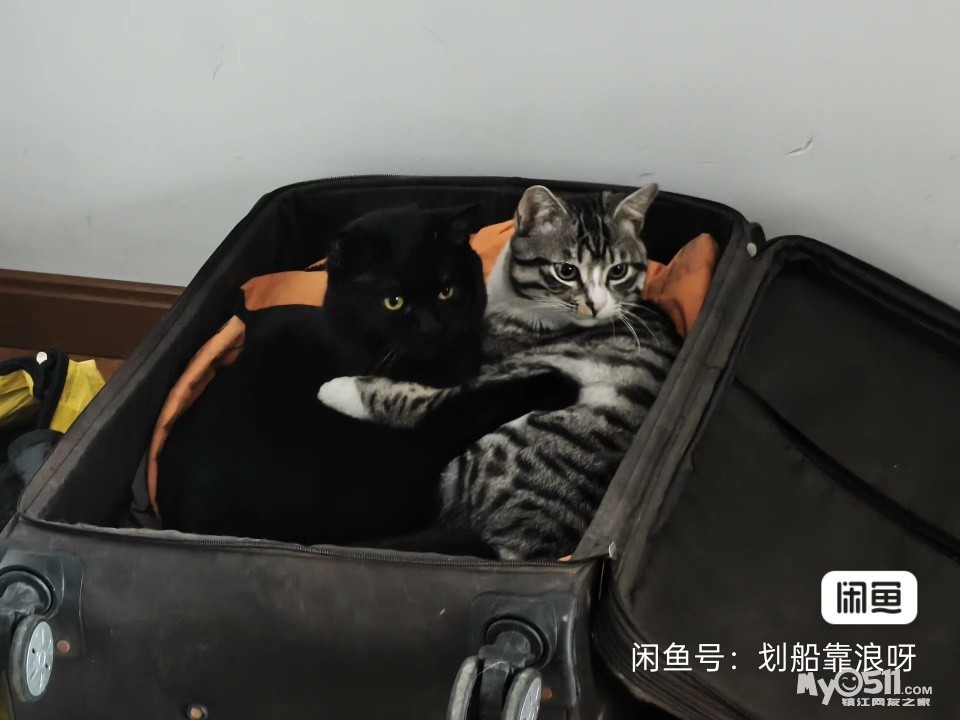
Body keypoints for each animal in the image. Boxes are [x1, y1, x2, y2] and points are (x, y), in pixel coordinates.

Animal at [157, 203, 579, 549]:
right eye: (393, 301)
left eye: (446, 291)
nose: (431, 328)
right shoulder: (425, 423)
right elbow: (477, 401)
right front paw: (554, 384)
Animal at [319, 184, 680, 560]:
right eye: (566, 271)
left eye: (618, 271)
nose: (597, 306)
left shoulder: (494, 363)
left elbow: (428, 399)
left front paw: (342, 389)